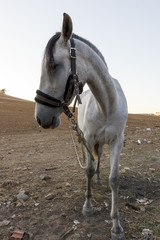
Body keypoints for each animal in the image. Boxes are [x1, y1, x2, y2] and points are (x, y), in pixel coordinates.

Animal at [34, 13, 127, 240]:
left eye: (53, 66)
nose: (40, 118)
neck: (107, 104)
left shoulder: (117, 141)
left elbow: (114, 179)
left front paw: (116, 226)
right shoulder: (90, 138)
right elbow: (89, 170)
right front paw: (88, 206)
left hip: (103, 143)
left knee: (99, 159)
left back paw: (100, 179)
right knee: (90, 163)